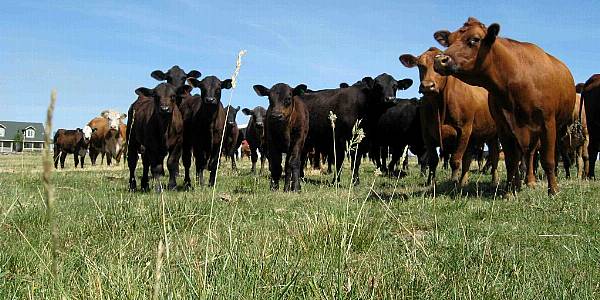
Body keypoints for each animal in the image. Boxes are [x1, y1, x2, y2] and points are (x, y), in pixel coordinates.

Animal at [400, 47, 500, 188]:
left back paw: (494, 181)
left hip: (494, 134)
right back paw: (464, 181)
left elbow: (455, 160)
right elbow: (433, 160)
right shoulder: (427, 134)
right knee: (468, 158)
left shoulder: (464, 130)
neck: (439, 106)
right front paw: (431, 182)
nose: (427, 86)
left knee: (494, 155)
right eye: (420, 65)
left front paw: (453, 181)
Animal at [432, 17, 576, 195]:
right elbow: (511, 161)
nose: (439, 60)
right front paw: (508, 192)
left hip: (556, 128)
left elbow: (547, 160)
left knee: (537, 154)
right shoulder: (504, 128)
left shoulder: (547, 123)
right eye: (450, 41)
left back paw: (531, 182)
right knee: (525, 154)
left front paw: (553, 191)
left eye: (475, 39)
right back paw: (520, 183)